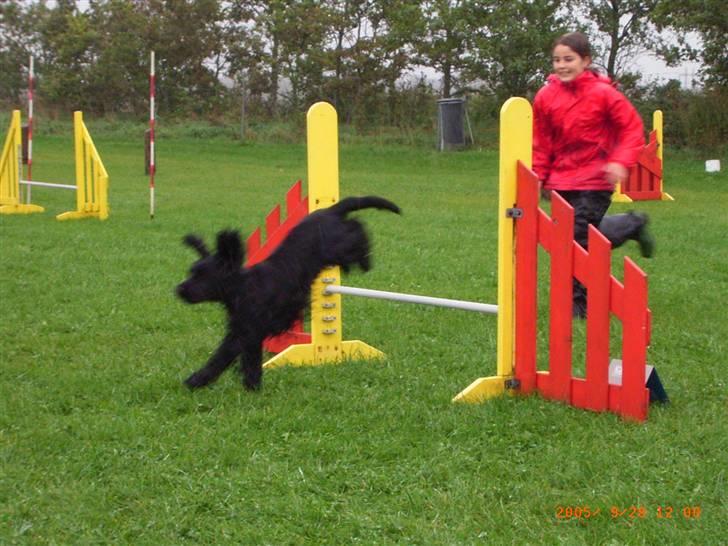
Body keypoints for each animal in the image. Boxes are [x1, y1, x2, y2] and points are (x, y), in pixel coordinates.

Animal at [178, 196, 404, 392]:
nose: (179, 290)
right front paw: (202, 381)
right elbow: (227, 358)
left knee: (358, 228)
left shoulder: (249, 331)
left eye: (202, 276)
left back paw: (365, 261)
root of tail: (329, 211)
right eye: (192, 272)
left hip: (340, 245)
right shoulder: (240, 330)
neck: (243, 287)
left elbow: (233, 359)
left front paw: (248, 387)